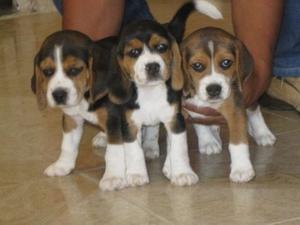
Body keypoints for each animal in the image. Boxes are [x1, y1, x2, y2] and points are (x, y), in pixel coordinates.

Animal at [31, 30, 131, 192]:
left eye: (74, 70)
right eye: (47, 71)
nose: (59, 94)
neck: (85, 94)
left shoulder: (114, 120)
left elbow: (114, 151)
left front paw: (113, 177)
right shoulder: (71, 118)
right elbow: (67, 145)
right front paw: (62, 165)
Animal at [96, 0, 223, 186]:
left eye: (162, 47)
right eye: (134, 52)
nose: (152, 66)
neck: (150, 91)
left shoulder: (175, 120)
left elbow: (178, 149)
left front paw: (182, 173)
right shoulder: (130, 124)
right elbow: (134, 150)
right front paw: (136, 174)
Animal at [180, 27, 276, 183]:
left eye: (226, 63)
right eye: (197, 66)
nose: (214, 89)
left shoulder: (235, 109)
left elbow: (238, 142)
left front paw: (242, 169)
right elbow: (199, 123)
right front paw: (207, 141)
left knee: (254, 110)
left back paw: (263, 133)